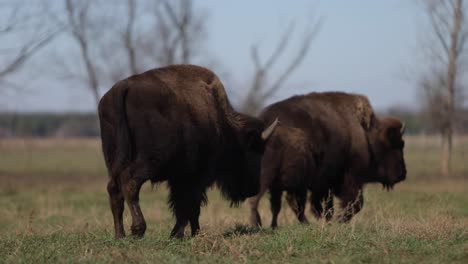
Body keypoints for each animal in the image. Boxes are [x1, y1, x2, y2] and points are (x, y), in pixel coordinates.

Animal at [99, 64, 280, 239]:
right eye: (253, 150)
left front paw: (189, 233)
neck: (222, 124)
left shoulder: (181, 178)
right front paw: (182, 234)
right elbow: (189, 205)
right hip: (148, 162)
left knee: (114, 189)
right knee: (130, 183)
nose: (254, 188)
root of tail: (123, 86)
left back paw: (120, 235)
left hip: (113, 162)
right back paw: (138, 230)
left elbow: (185, 206)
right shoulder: (196, 177)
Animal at [249, 91, 406, 227]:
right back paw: (258, 224)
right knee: (264, 200)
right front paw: (339, 221)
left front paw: (330, 221)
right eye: (397, 144)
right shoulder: (350, 179)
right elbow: (354, 204)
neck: (367, 135)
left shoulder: (323, 185)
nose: (402, 174)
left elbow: (324, 206)